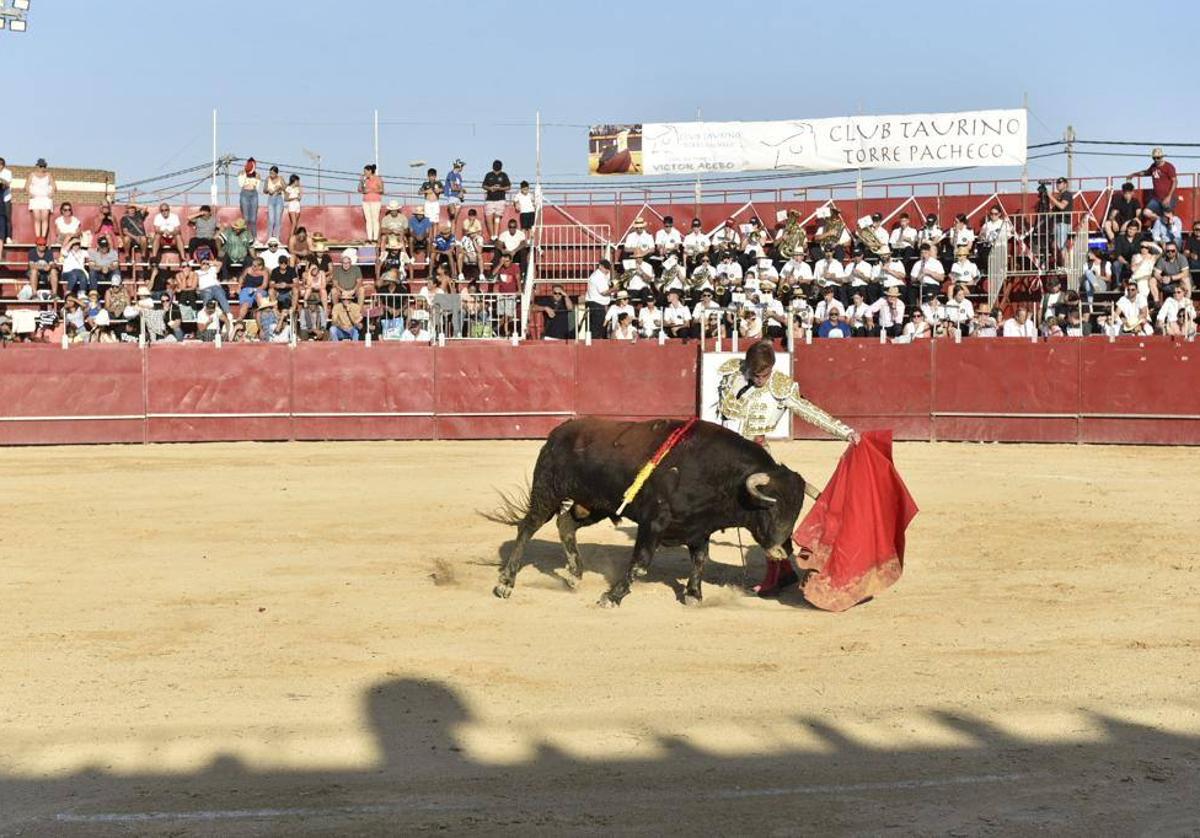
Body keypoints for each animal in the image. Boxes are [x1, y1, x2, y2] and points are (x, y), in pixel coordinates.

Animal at [489, 417, 816, 607]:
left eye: (797, 510)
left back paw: (574, 575)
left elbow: (700, 560)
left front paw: (694, 595)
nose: (782, 550)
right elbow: (640, 564)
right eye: (770, 508)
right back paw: (506, 583)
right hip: (548, 490)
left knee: (566, 524)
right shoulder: (653, 523)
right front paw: (612, 596)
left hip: (594, 504)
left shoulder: (699, 529)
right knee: (528, 527)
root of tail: (558, 431)